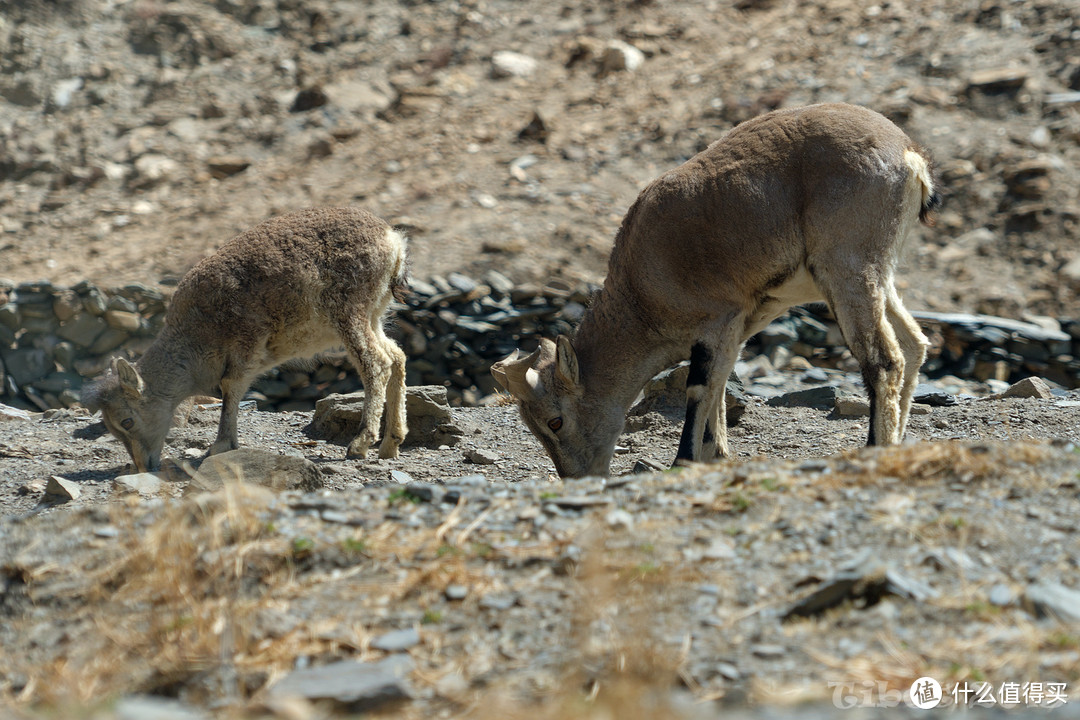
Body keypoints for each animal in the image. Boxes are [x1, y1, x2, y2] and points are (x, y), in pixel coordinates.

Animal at [83, 207, 408, 472]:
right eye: (110, 427)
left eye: (127, 420)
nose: (143, 465)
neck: (195, 337)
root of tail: (393, 241)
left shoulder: (246, 342)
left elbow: (231, 387)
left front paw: (220, 445)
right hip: (374, 315)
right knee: (397, 356)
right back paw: (391, 444)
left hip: (349, 312)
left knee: (376, 363)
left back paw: (361, 444)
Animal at [492, 102, 937, 479]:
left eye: (555, 420)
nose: (578, 477)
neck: (639, 293)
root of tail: (908, 154)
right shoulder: (737, 326)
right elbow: (721, 383)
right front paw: (717, 453)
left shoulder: (715, 321)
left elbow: (700, 386)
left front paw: (683, 460)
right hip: (876, 274)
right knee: (914, 345)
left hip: (848, 271)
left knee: (884, 360)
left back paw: (875, 448)